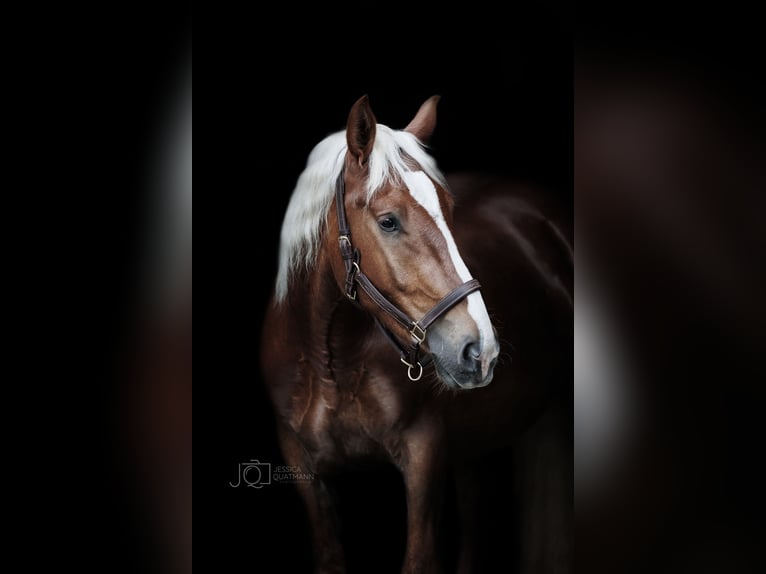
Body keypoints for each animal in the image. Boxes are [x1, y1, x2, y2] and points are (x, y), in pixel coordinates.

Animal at [261, 95, 573, 574]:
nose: (479, 350)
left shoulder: (423, 457)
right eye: (388, 221)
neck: (332, 362)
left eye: (449, 210)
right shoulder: (301, 465)